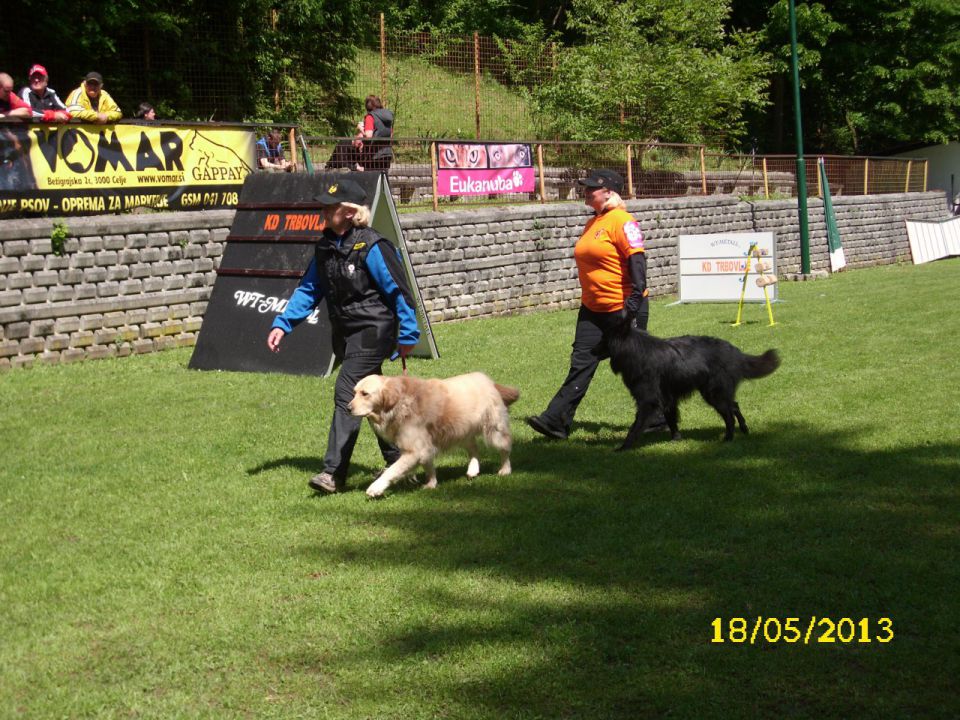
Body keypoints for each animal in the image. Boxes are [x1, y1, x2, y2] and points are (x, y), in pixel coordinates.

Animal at [608, 316, 780, 450]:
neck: (636, 350)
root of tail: (736, 353)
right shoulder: (668, 398)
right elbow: (671, 418)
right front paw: (676, 439)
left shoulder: (648, 401)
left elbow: (635, 426)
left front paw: (624, 448)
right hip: (716, 393)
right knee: (734, 405)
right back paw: (743, 429)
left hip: (713, 394)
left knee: (729, 415)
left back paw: (728, 439)